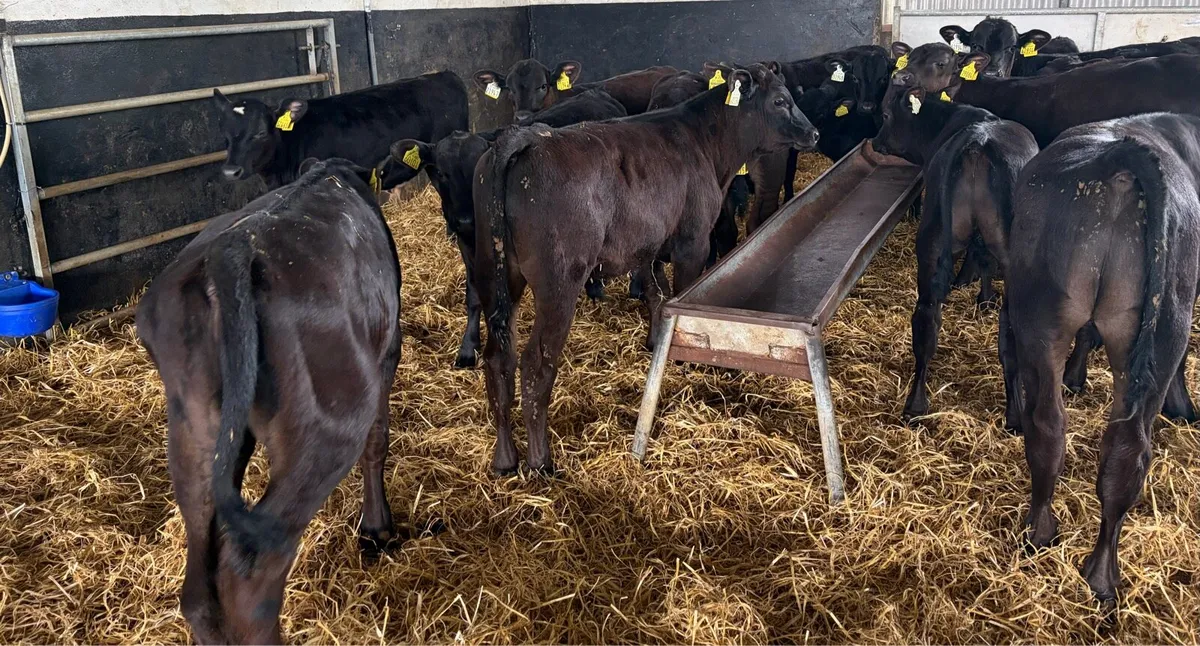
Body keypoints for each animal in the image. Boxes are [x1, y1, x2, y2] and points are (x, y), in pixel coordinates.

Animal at [135, 158, 405, 643]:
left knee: (199, 589)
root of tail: (230, 253)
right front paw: (377, 529)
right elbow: (378, 442)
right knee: (250, 582)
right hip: (327, 427)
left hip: (192, 428)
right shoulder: (388, 349)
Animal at [374, 89, 628, 368]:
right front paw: (468, 347)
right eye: (440, 172)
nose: (465, 219)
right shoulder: (466, 242)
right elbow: (474, 292)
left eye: (479, 167)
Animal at [872, 76, 1038, 428]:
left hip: (932, 246)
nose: (876, 142)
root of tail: (977, 143)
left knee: (926, 321)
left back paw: (916, 406)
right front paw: (983, 297)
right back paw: (1015, 414)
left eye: (887, 115)